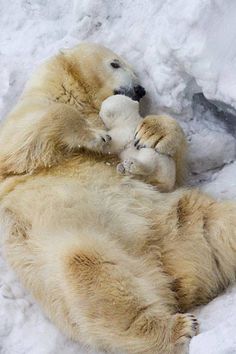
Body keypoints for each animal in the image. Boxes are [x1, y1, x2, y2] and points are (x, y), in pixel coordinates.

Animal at [0, 43, 236, 354]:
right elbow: (24, 137)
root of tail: (171, 273)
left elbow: (171, 173)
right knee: (89, 269)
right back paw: (176, 329)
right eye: (115, 63)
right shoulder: (26, 117)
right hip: (81, 246)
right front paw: (95, 136)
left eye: (134, 70)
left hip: (183, 221)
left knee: (223, 222)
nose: (140, 89)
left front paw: (153, 132)